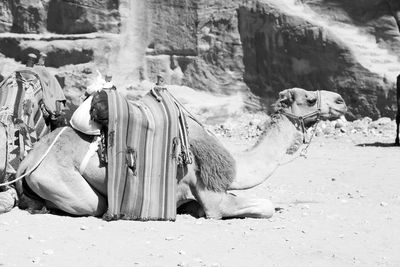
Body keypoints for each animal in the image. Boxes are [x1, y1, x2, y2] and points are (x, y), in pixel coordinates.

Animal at [0, 88, 346, 220]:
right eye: (309, 99)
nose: (341, 100)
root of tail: (29, 159)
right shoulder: (212, 197)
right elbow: (264, 206)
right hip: (58, 179)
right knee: (89, 204)